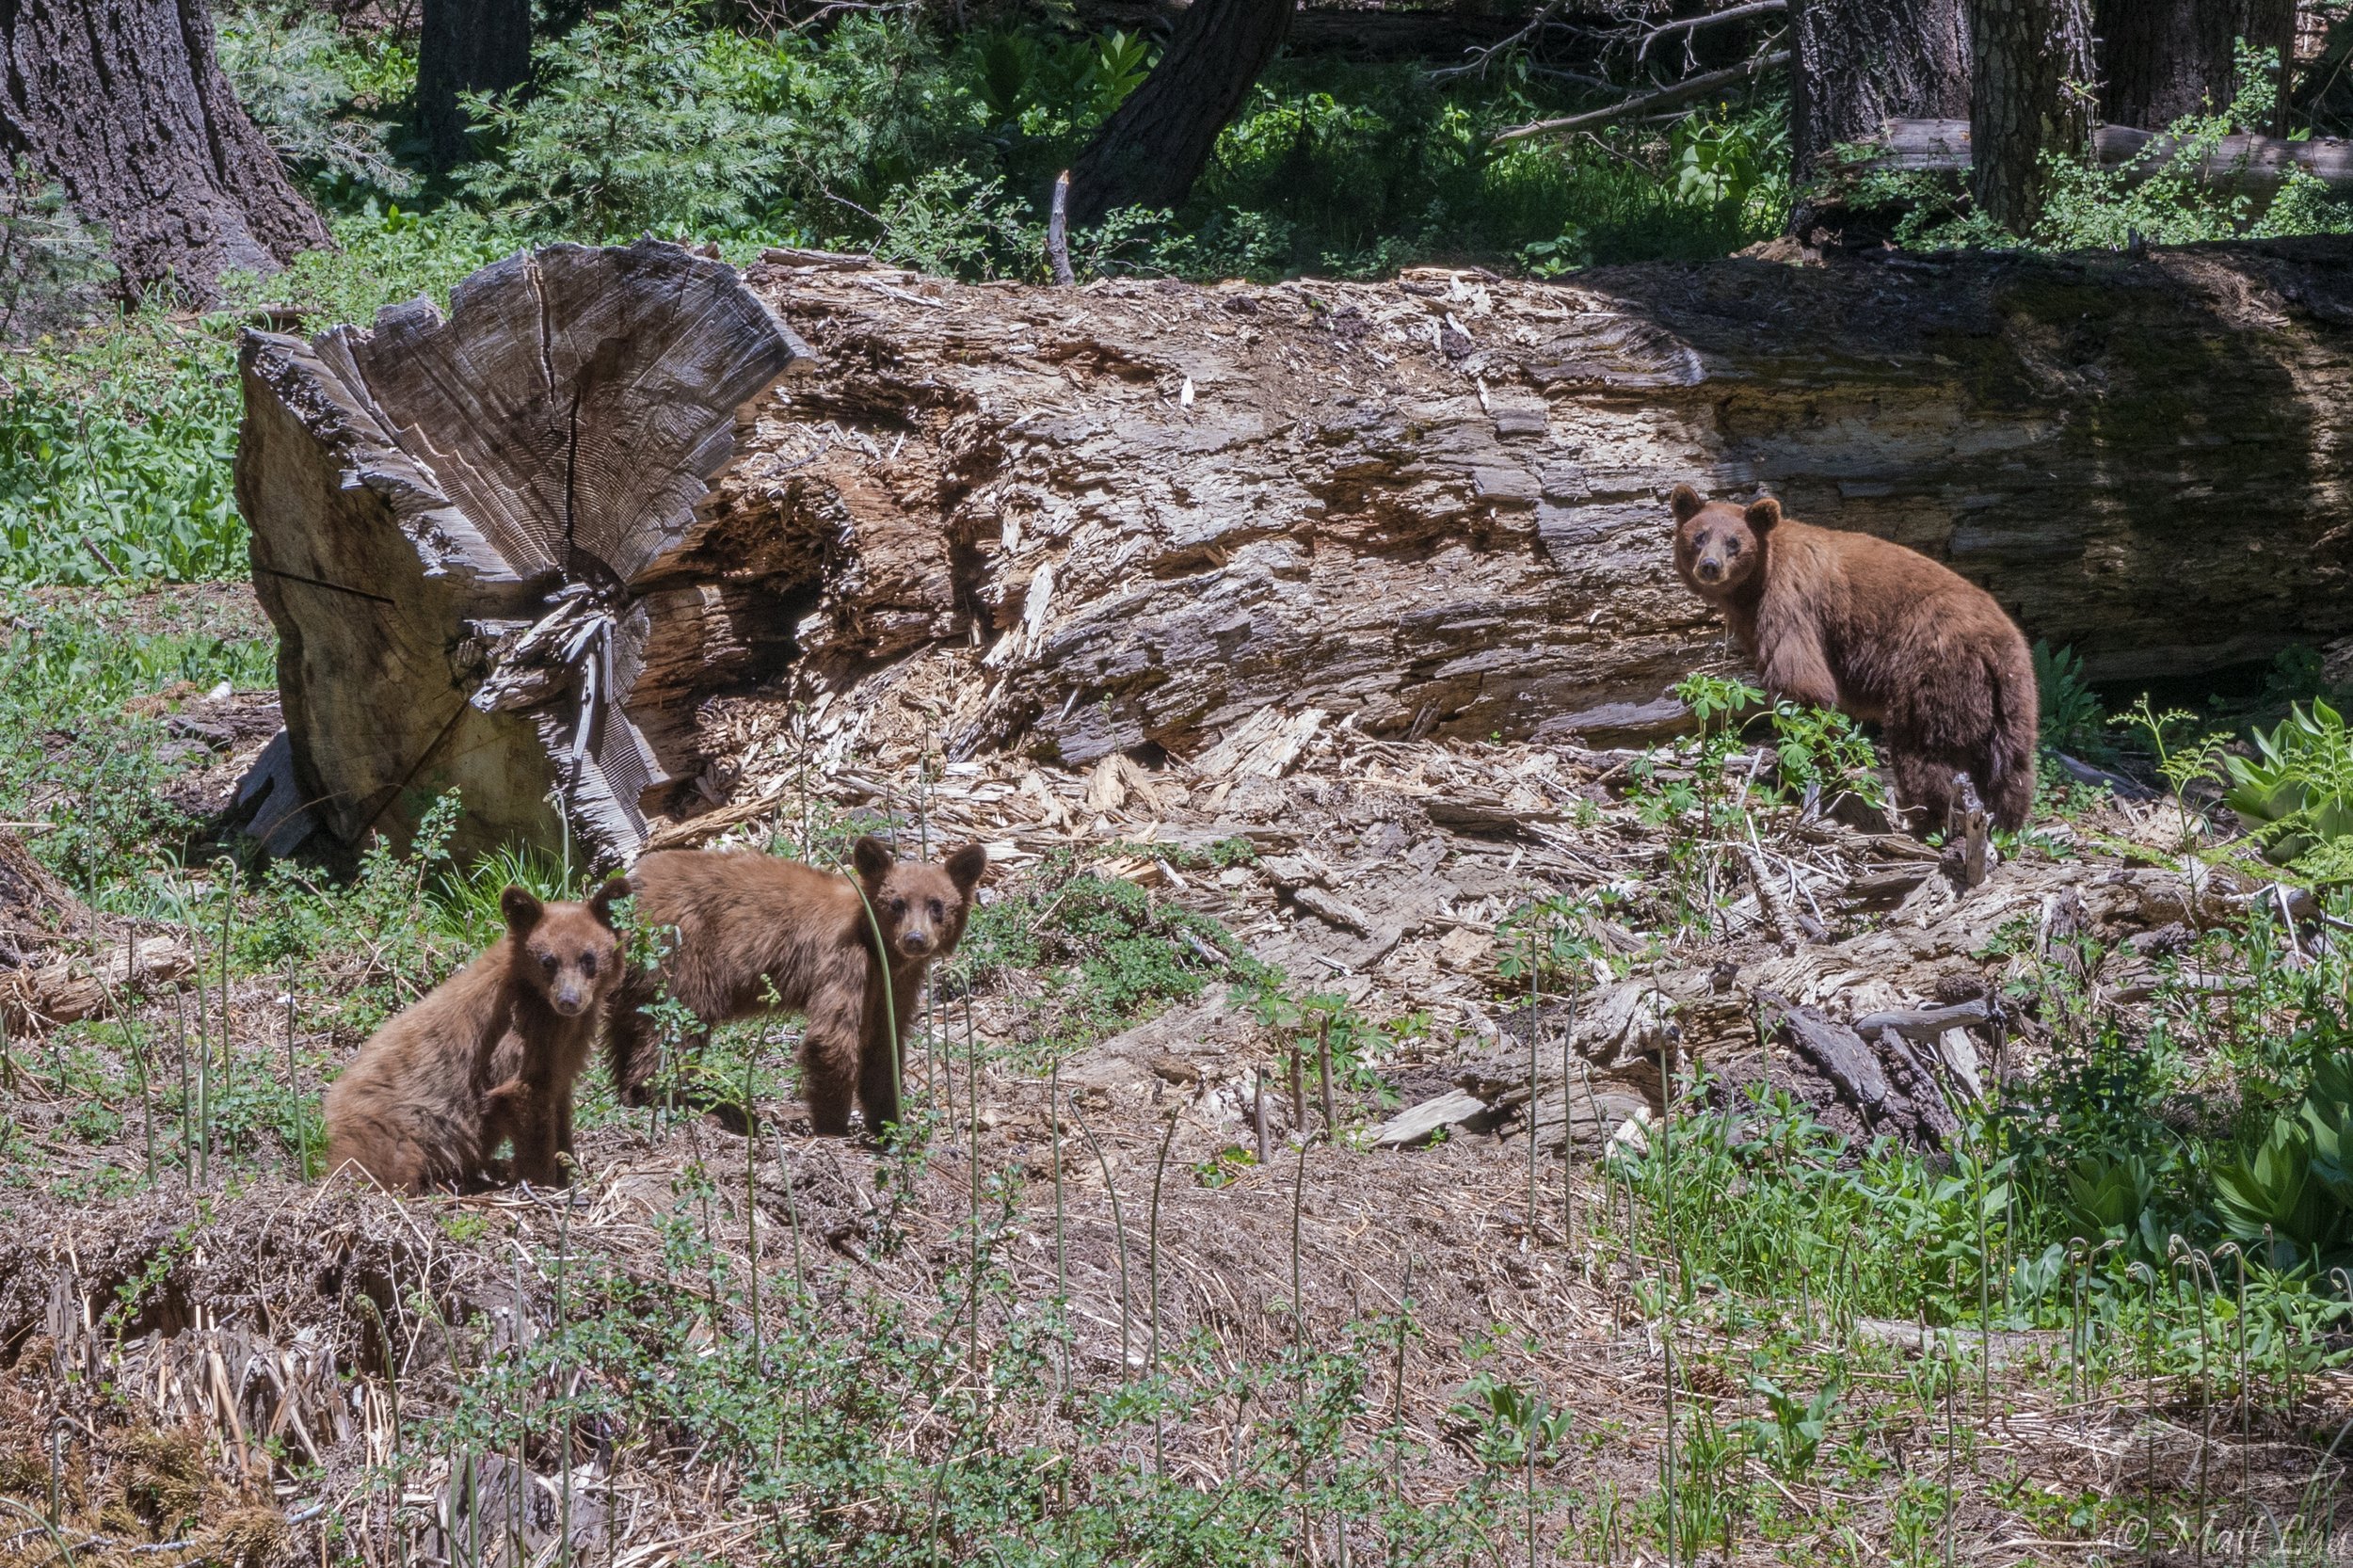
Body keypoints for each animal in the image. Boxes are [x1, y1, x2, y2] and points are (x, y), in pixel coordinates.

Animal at [322, 880, 625, 1193]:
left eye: (588, 958)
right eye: (548, 961)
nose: (569, 1000)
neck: (538, 999)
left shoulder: (564, 1052)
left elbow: (560, 1105)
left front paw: (567, 1168)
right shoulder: (520, 1034)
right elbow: (527, 1102)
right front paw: (543, 1182)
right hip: (400, 1129)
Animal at [603, 836, 988, 1138]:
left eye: (937, 905)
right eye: (896, 903)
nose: (915, 939)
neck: (875, 941)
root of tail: (631, 891)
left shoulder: (897, 983)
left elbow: (884, 1047)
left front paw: (889, 1124)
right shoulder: (845, 961)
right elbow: (832, 1038)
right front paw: (833, 1126)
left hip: (632, 974)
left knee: (629, 1026)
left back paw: (631, 1090)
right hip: (680, 953)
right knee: (676, 1025)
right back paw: (662, 1097)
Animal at [1668, 484, 2039, 834]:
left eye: (1734, 542)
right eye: (1699, 536)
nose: (1710, 566)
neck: (1756, 582)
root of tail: (1993, 645)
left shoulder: (1789, 603)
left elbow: (1803, 685)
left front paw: (1793, 772)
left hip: (1932, 673)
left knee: (1924, 751)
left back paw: (1928, 821)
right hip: (2013, 693)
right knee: (2013, 765)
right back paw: (2005, 825)